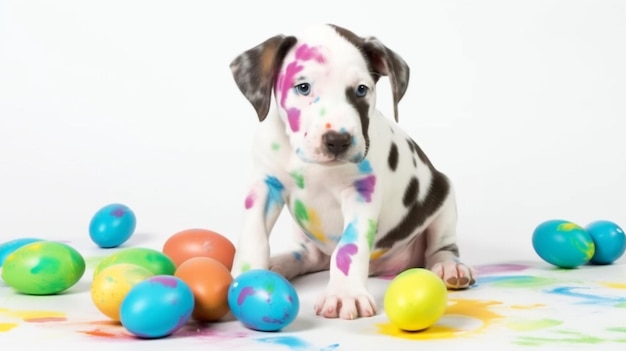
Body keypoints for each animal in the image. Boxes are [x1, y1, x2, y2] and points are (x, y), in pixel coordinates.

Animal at [229, 24, 472, 322]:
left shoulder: (360, 194)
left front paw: (345, 294)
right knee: (309, 257)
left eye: (361, 90)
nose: (337, 140)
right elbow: (253, 236)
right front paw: (246, 278)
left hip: (443, 199)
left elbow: (349, 248)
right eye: (303, 87)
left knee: (441, 247)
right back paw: (281, 262)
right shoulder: (265, 185)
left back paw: (450, 267)